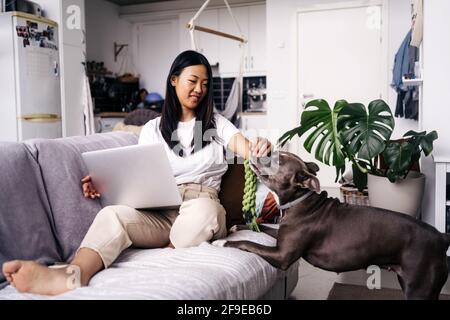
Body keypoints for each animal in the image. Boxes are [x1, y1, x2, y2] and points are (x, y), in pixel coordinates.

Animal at [214, 151, 450, 298]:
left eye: (278, 160)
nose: (259, 150)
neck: (300, 201)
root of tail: (440, 236)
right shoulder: (280, 237)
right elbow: (260, 228)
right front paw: (237, 227)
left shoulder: (282, 256)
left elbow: (250, 244)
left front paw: (222, 243)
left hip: (419, 288)